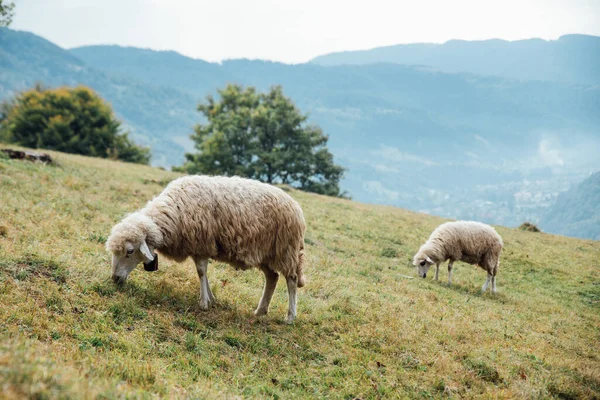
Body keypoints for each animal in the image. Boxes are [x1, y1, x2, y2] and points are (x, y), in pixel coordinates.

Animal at [105, 174, 308, 322]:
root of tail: (297, 207)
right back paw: (261, 310)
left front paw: (203, 303)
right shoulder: (199, 247)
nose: (115, 279)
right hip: (266, 253)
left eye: (130, 251)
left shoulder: (202, 243)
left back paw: (290, 316)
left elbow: (201, 272)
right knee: (272, 278)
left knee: (291, 280)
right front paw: (211, 298)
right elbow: (203, 273)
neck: (174, 212)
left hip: (286, 250)